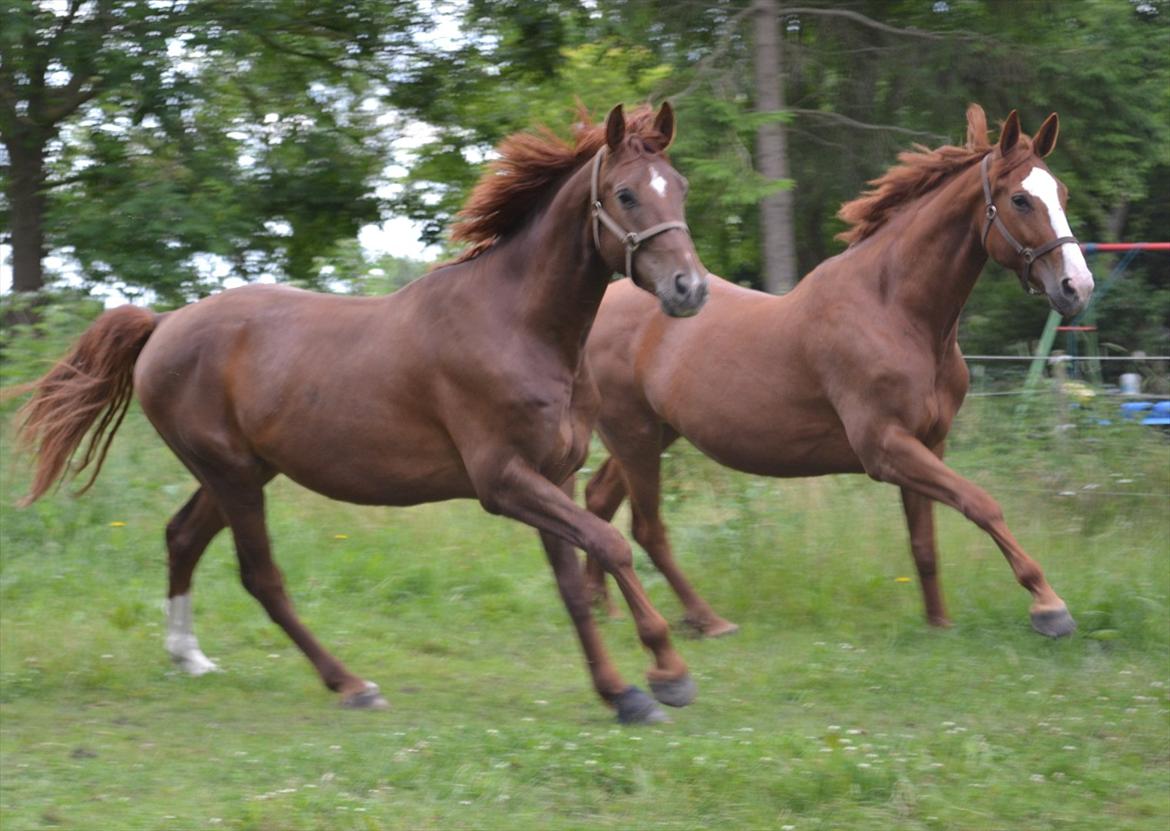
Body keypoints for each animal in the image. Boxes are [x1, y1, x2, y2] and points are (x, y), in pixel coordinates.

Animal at [20, 104, 711, 725]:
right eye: (625, 194)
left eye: (678, 188)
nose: (691, 288)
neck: (518, 326)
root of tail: (163, 324)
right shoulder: (503, 481)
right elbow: (612, 543)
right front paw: (668, 674)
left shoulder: (554, 476)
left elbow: (573, 582)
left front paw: (622, 694)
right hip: (232, 474)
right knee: (260, 576)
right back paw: (351, 684)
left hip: (242, 471)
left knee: (183, 537)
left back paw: (188, 658)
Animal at [585, 104, 1095, 636]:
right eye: (1020, 199)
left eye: (1061, 194)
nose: (1077, 286)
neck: (895, 311)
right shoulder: (886, 448)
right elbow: (982, 504)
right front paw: (1048, 605)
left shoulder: (928, 443)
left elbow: (925, 545)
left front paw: (939, 624)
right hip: (634, 435)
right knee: (646, 526)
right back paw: (705, 619)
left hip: (653, 433)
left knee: (599, 499)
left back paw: (604, 607)